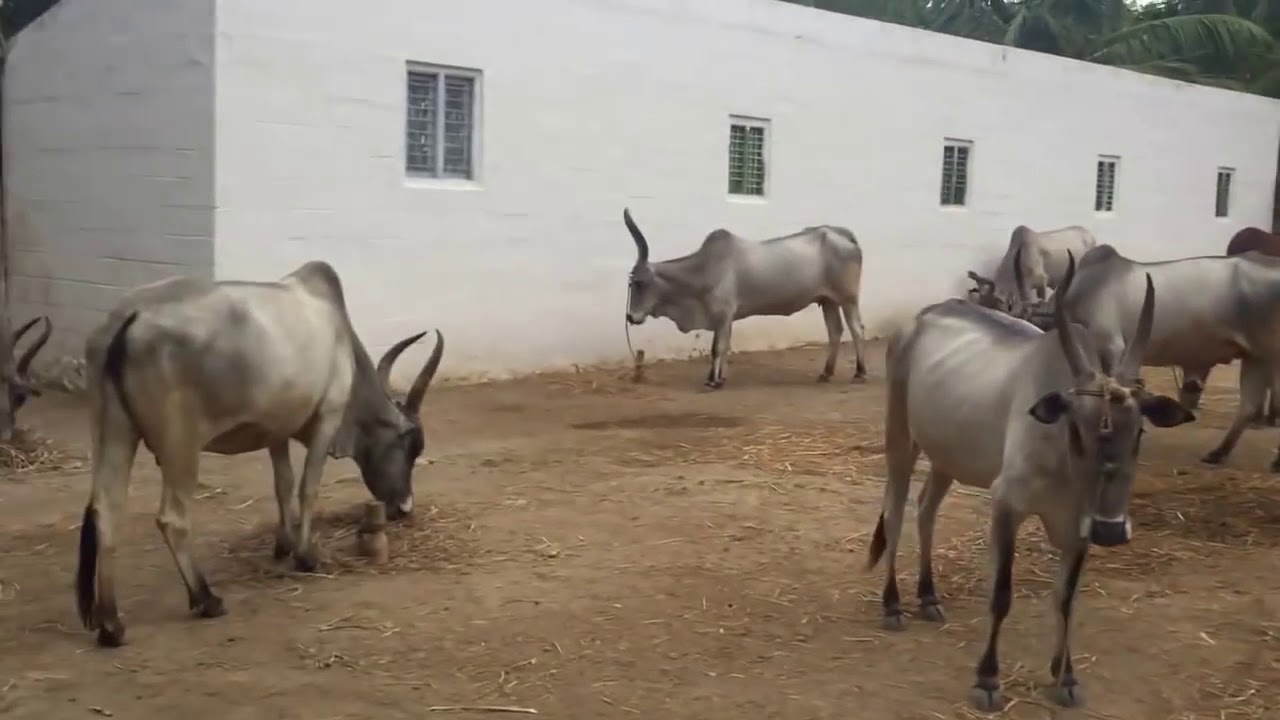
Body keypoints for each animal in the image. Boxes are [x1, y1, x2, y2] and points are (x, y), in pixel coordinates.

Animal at [74, 261, 444, 648]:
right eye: (412, 447)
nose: (404, 507)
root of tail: (132, 315)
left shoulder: (275, 430)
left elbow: (283, 484)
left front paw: (284, 544)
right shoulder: (327, 418)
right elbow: (307, 487)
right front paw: (306, 556)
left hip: (113, 431)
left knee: (106, 512)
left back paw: (111, 624)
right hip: (180, 446)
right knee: (172, 519)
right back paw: (206, 598)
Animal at [622, 208, 867, 388]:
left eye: (640, 283)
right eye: (631, 282)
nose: (631, 317)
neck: (703, 270)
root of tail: (842, 235)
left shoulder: (722, 315)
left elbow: (717, 348)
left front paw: (712, 381)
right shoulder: (729, 318)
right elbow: (725, 346)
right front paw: (721, 378)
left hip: (848, 298)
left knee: (856, 329)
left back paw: (860, 373)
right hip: (827, 300)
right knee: (835, 331)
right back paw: (826, 373)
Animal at [867, 248, 1194, 712]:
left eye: (1140, 432)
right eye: (1077, 428)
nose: (1111, 530)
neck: (1064, 464)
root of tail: (921, 317)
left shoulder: (1077, 527)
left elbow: (1067, 599)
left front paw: (1065, 674)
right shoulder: (1007, 505)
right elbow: (1001, 595)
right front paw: (987, 679)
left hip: (947, 455)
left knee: (926, 509)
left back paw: (928, 596)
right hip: (900, 437)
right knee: (894, 513)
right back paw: (893, 605)